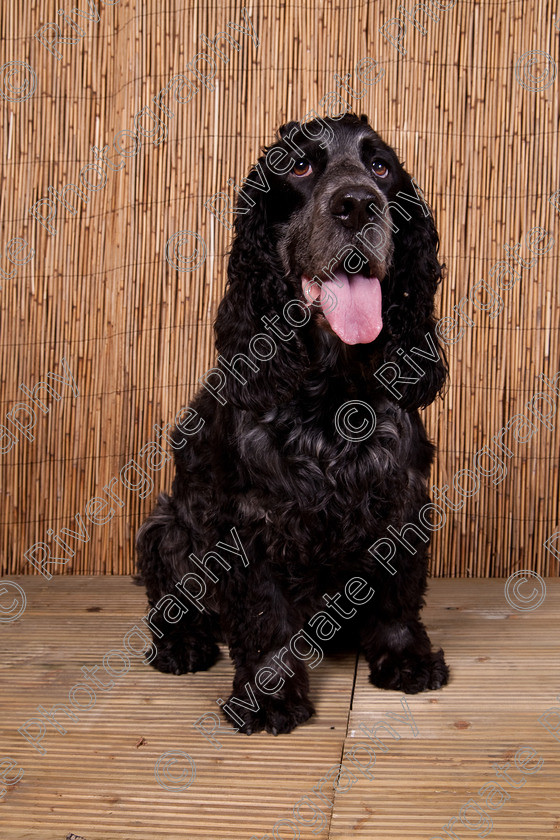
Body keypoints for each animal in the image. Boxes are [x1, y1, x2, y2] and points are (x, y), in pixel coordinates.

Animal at [137, 113, 450, 736]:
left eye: (381, 167)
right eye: (302, 166)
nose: (357, 205)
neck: (331, 394)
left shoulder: (401, 493)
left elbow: (399, 592)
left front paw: (406, 658)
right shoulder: (251, 519)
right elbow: (264, 614)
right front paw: (270, 697)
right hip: (166, 523)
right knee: (169, 599)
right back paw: (183, 643)